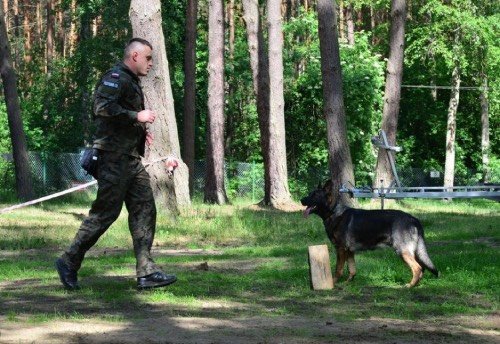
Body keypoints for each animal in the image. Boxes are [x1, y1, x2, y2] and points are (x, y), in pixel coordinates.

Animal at [300, 180, 438, 288]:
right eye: (310, 194)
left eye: (314, 195)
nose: (301, 200)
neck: (333, 211)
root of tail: (413, 218)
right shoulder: (349, 251)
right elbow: (352, 270)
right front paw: (348, 283)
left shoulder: (341, 249)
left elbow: (338, 269)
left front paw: (333, 283)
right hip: (412, 252)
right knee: (422, 268)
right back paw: (416, 285)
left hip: (402, 250)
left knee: (417, 268)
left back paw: (410, 285)